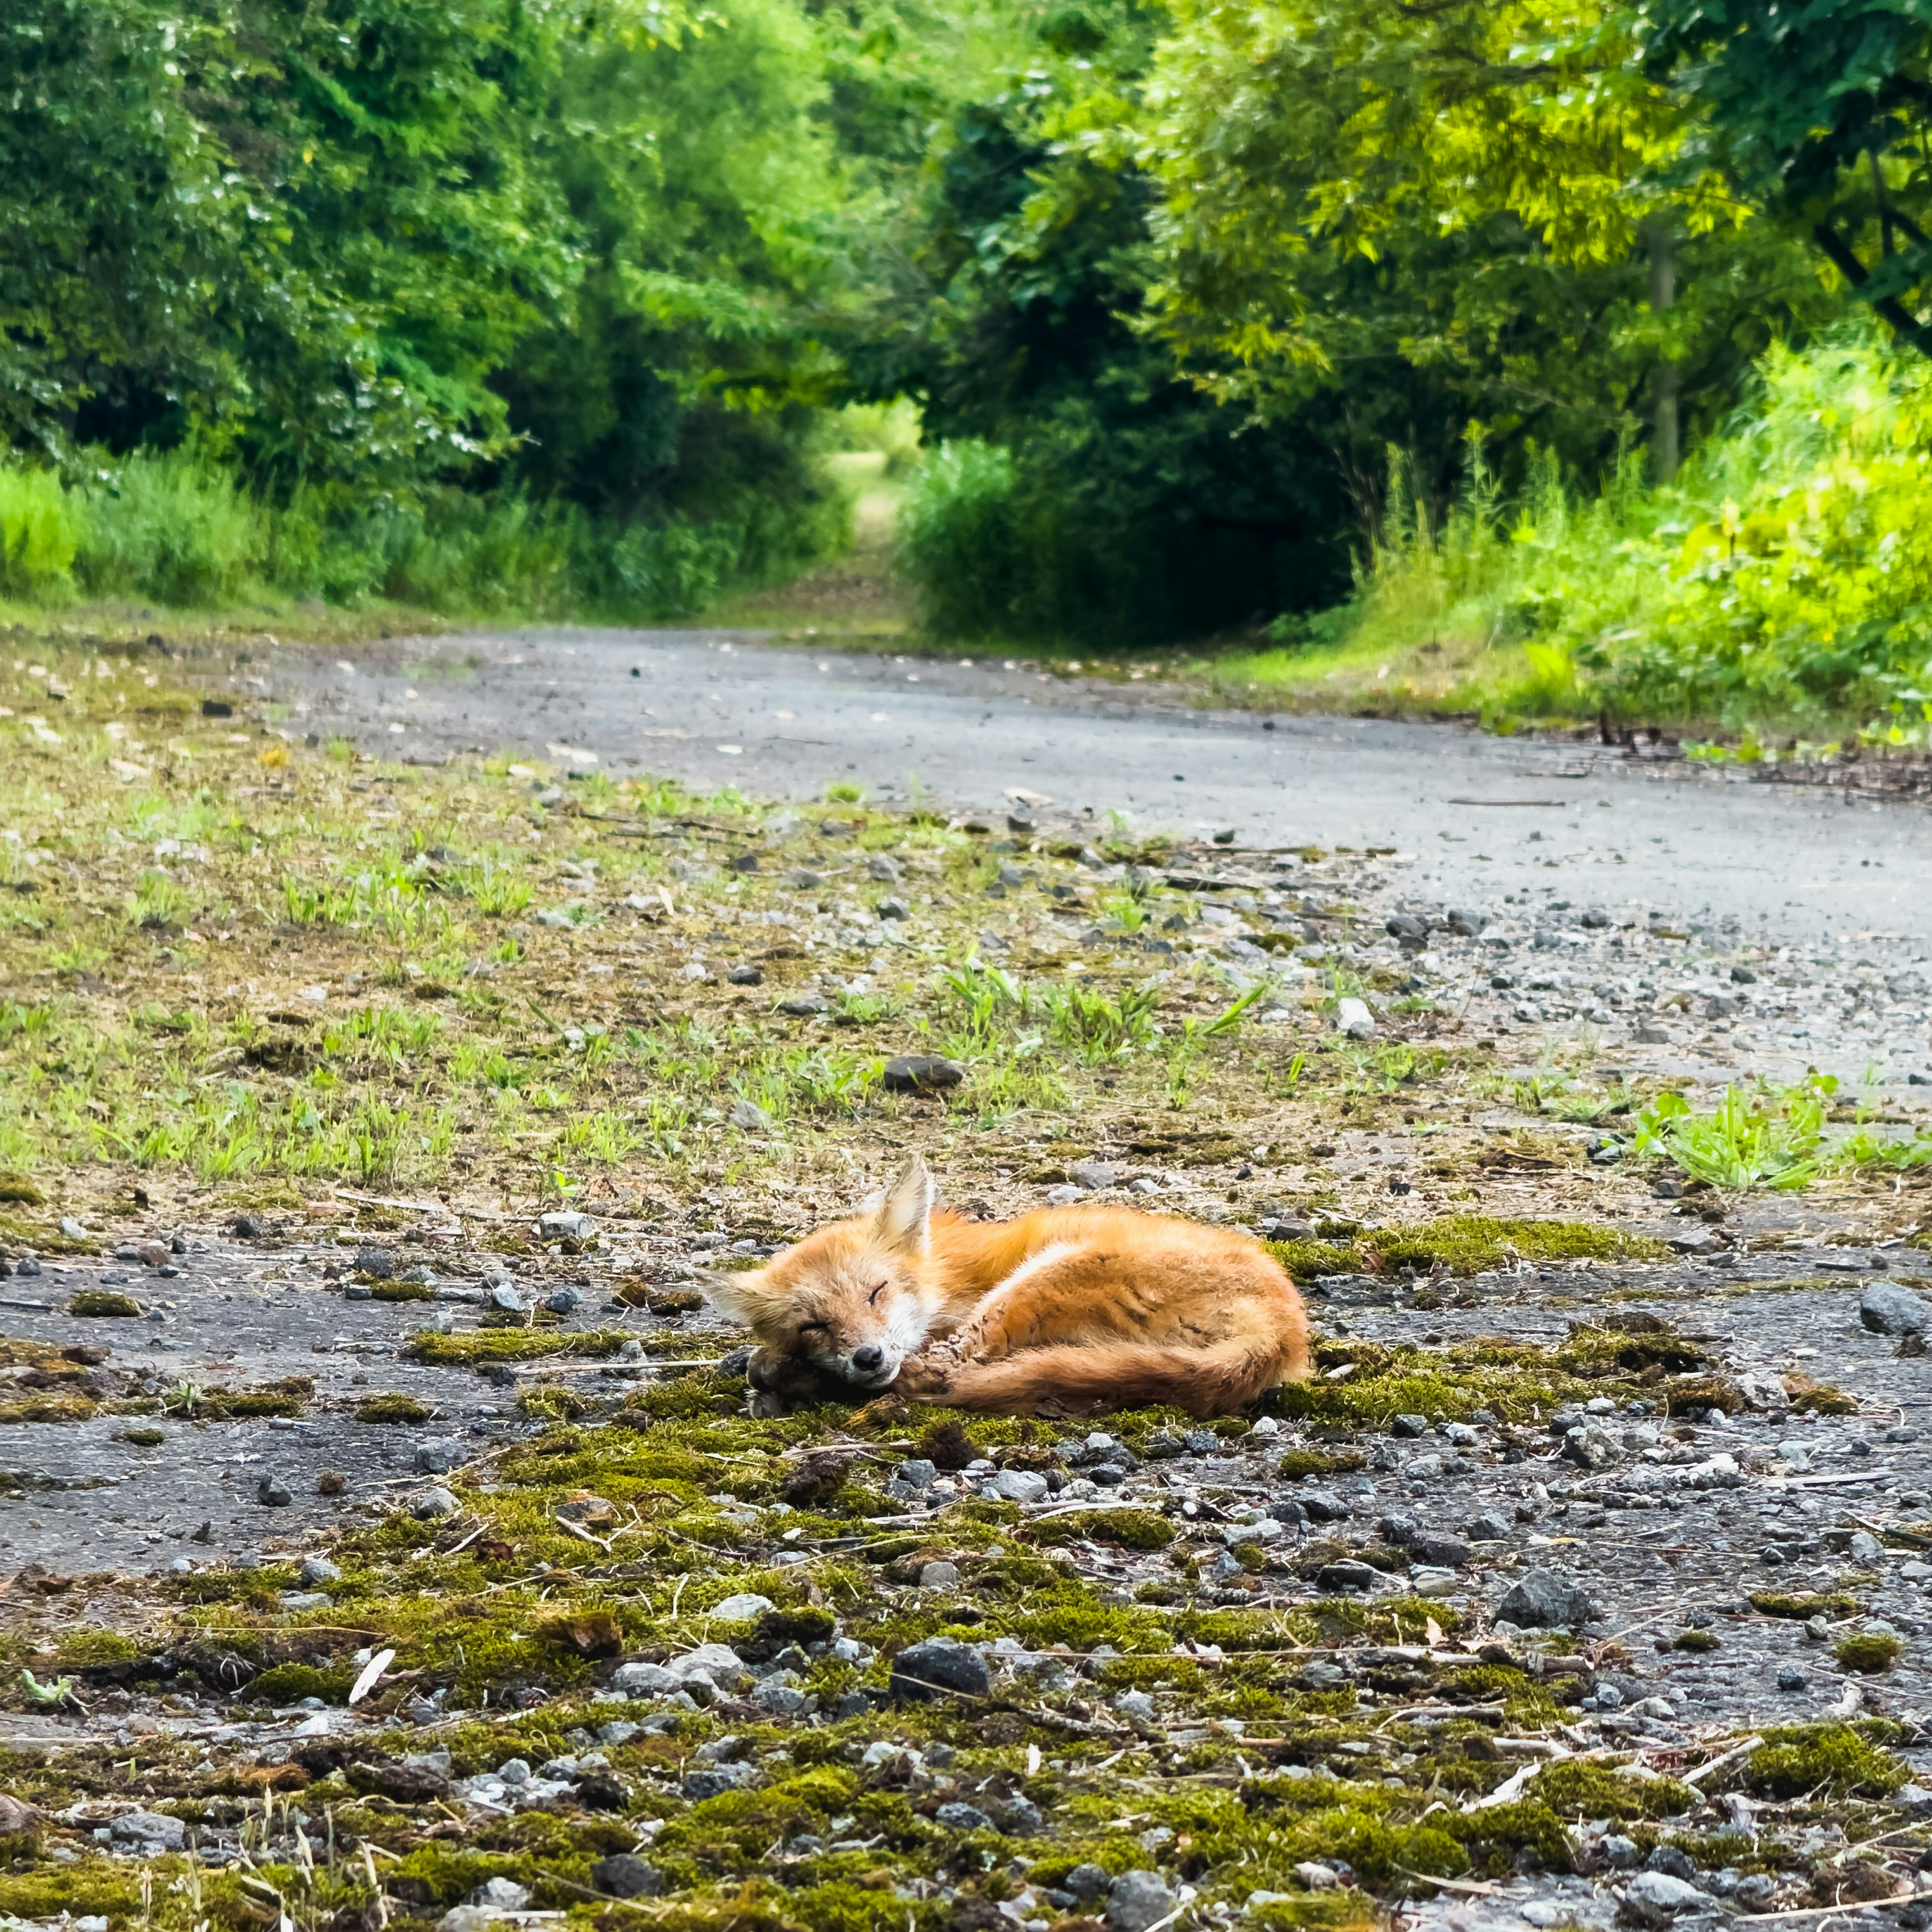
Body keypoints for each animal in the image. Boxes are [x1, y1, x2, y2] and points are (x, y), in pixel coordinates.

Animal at [699, 1144, 1314, 1422]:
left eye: (877, 1292)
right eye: (815, 1325)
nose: (867, 1357)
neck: (945, 1274)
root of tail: (1284, 1327)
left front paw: (782, 1374)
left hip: (1045, 1274)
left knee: (938, 1374)